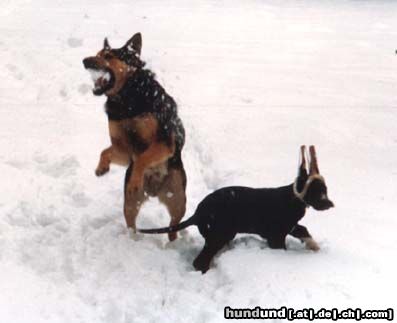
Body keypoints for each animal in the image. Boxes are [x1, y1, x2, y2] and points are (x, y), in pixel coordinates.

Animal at [82, 34, 187, 242]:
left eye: (108, 56)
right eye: (97, 54)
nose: (84, 61)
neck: (126, 98)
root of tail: (154, 191)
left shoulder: (164, 143)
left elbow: (142, 159)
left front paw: (136, 179)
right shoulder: (123, 150)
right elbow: (106, 151)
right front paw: (101, 168)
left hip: (178, 198)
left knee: (173, 227)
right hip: (130, 203)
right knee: (132, 224)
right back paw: (133, 240)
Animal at [138, 147, 332, 274]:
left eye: (325, 190)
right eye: (318, 192)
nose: (330, 204)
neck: (293, 198)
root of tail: (198, 212)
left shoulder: (289, 227)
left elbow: (303, 230)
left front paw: (314, 246)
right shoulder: (276, 236)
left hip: (220, 235)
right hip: (219, 234)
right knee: (200, 261)